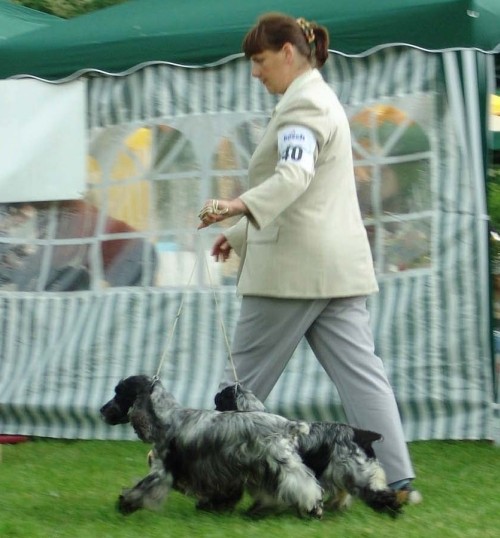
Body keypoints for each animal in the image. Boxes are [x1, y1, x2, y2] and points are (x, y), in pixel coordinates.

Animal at [99, 374, 322, 516]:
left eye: (119, 393)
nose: (101, 410)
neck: (166, 417)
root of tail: (286, 424)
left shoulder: (163, 469)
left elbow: (143, 487)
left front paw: (125, 504)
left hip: (278, 464)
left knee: (305, 485)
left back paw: (313, 508)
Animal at [215, 382, 406, 516]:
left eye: (220, 399)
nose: (214, 397)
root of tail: (360, 433)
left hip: (359, 473)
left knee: (381, 493)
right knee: (343, 493)